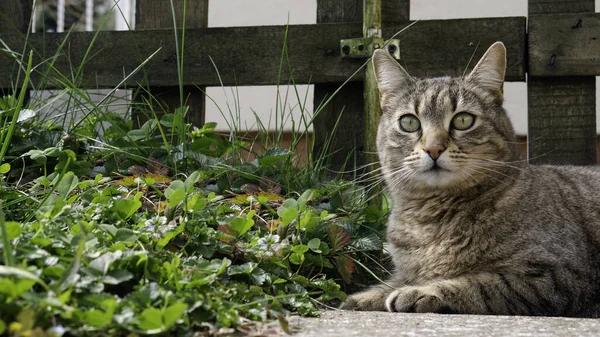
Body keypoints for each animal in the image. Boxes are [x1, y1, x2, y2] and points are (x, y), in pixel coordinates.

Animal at [340, 41, 600, 316]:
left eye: (463, 120)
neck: (429, 222)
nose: (433, 148)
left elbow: (478, 284)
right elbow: (391, 283)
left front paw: (418, 292)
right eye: (409, 122)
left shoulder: (553, 275)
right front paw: (364, 297)